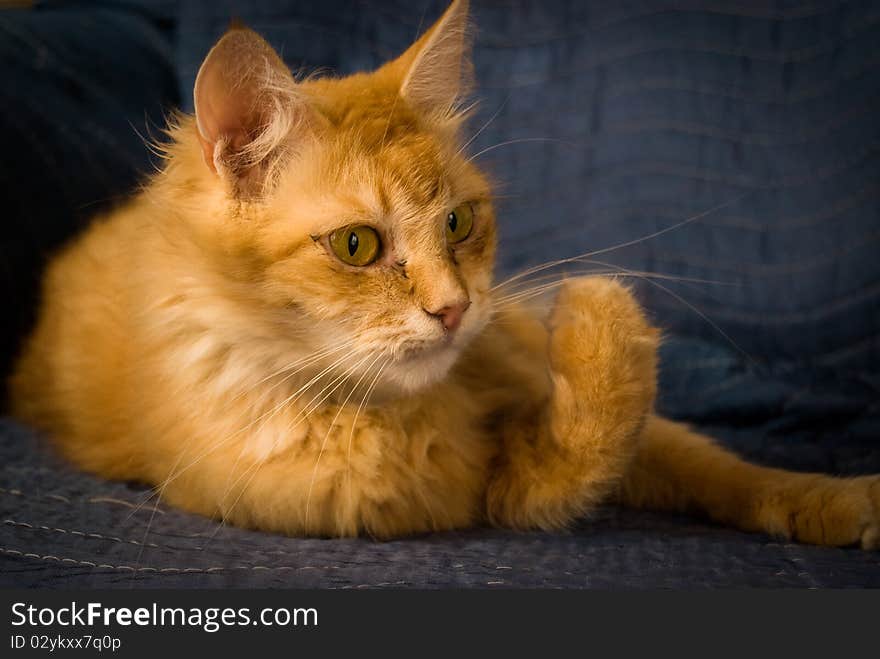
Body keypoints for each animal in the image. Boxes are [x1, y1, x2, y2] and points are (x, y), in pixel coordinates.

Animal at [8, 0, 880, 548]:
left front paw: (834, 500)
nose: (456, 309)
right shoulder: (453, 496)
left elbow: (717, 464)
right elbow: (585, 452)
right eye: (356, 245)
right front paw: (600, 317)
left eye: (459, 223)